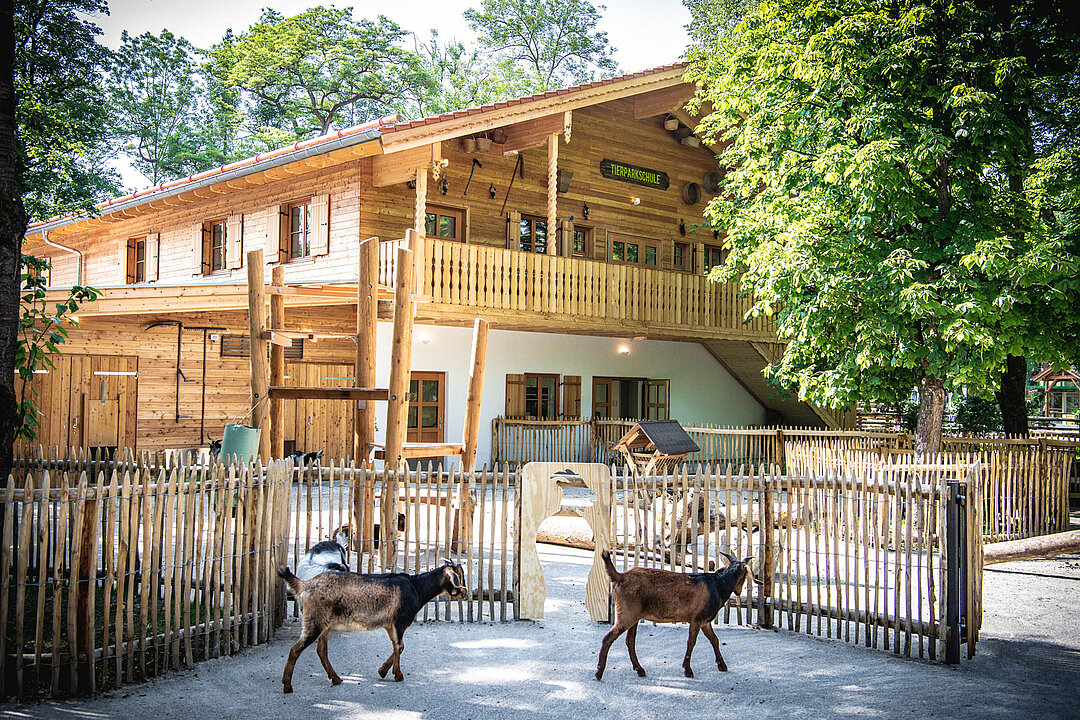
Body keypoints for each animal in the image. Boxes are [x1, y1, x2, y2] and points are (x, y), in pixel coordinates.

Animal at [276, 561, 466, 690]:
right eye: (459, 577)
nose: (464, 593)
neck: (417, 588)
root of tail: (305, 584)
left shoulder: (390, 625)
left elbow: (399, 646)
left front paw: (383, 671)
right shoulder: (399, 622)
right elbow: (399, 647)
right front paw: (398, 675)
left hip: (324, 625)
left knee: (321, 651)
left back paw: (336, 678)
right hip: (314, 622)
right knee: (295, 649)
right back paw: (287, 686)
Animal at [596, 552, 756, 682]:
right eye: (744, 576)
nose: (738, 591)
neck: (718, 585)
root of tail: (620, 576)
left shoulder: (705, 622)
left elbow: (714, 640)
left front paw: (722, 665)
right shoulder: (697, 619)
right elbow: (691, 642)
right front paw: (688, 670)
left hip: (633, 617)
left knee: (630, 641)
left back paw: (639, 670)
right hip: (626, 614)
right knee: (608, 638)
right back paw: (599, 672)